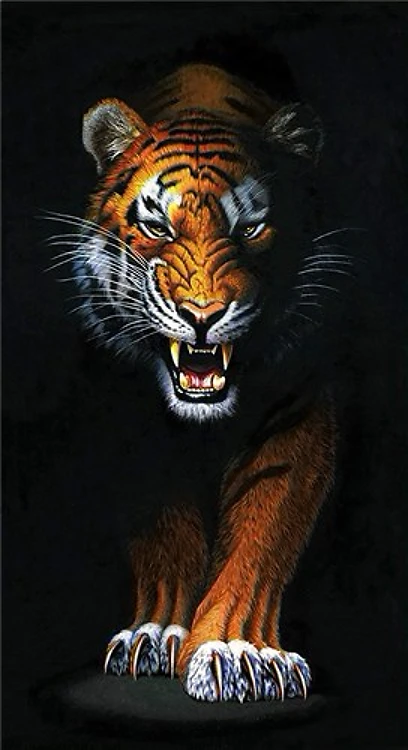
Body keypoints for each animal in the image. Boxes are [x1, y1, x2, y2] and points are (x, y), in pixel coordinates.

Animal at [58, 62, 342, 702]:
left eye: (251, 229)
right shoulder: (129, 415)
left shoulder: (299, 410)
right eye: (159, 226)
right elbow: (165, 534)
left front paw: (239, 651)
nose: (203, 314)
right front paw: (156, 634)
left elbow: (262, 536)